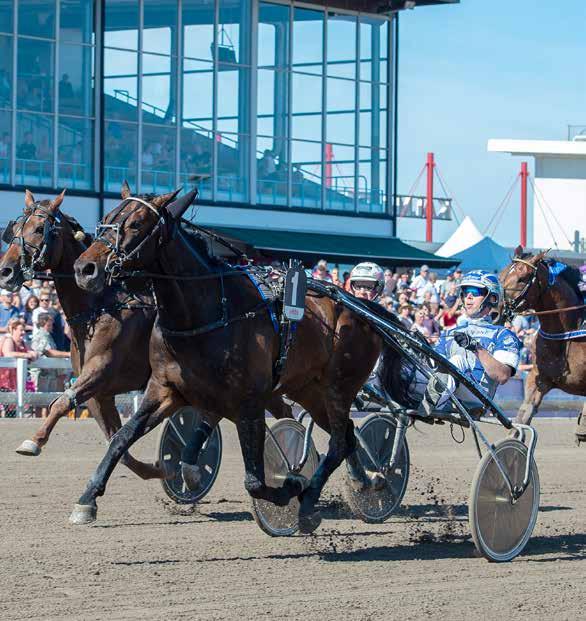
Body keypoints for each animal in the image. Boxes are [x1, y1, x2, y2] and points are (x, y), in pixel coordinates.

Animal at [70, 182, 380, 532]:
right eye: (107, 218)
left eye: (136, 224)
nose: (84, 269)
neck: (204, 313)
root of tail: (362, 309)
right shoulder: (165, 389)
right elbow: (121, 438)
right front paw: (87, 499)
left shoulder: (249, 401)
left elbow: (255, 480)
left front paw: (288, 485)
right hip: (309, 389)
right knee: (347, 436)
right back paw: (360, 481)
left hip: (338, 386)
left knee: (339, 441)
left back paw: (311, 499)